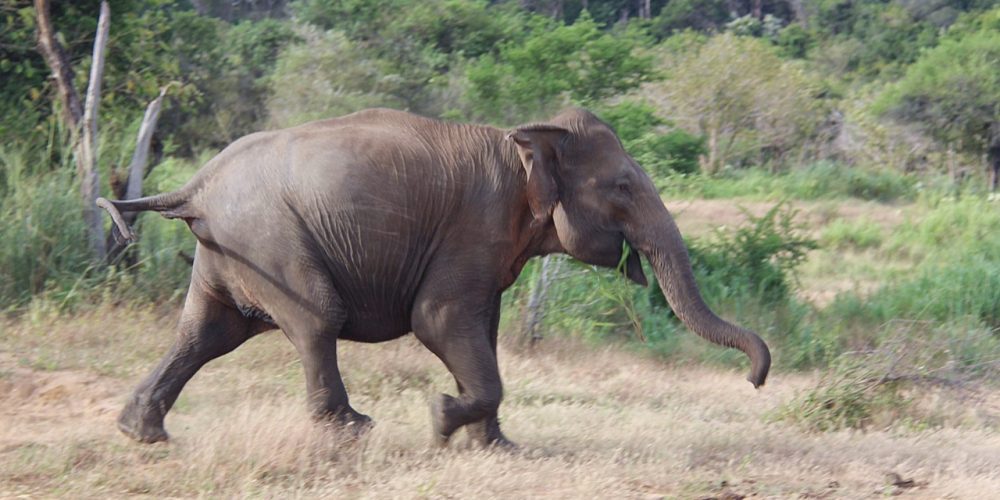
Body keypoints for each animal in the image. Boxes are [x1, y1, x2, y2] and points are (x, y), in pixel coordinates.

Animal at [97, 107, 768, 448]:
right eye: (624, 187)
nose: (756, 381)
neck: (524, 136)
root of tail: (196, 185)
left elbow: (482, 331)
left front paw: (495, 448)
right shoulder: (475, 226)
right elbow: (440, 321)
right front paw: (442, 419)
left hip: (232, 246)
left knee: (206, 332)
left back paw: (142, 433)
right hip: (268, 237)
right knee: (315, 318)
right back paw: (354, 432)